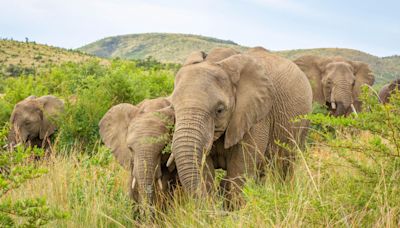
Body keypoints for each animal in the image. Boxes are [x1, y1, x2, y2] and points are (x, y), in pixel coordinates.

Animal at [167, 45, 314, 205]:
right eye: (172, 108)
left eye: (220, 110)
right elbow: (205, 170)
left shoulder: (257, 116)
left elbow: (239, 169)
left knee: (285, 166)